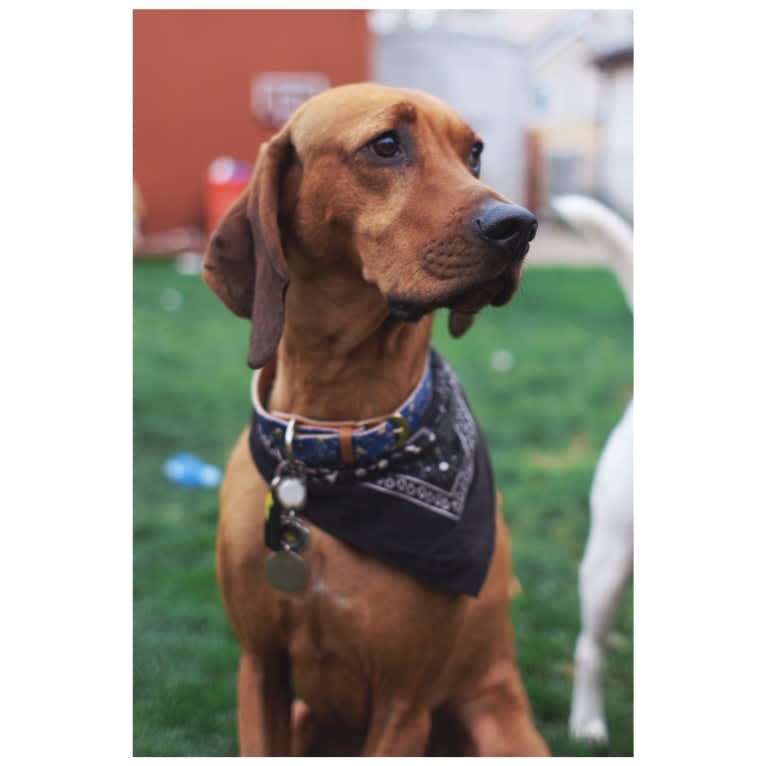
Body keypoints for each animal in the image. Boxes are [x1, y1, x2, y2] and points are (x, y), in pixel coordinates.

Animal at [204, 82, 548, 756]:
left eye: (473, 154)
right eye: (385, 145)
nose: (519, 226)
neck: (333, 444)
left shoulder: (403, 703)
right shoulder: (259, 670)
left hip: (499, 726)